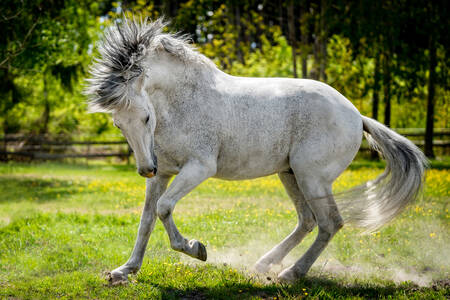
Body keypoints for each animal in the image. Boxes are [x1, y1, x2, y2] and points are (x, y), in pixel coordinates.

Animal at [84, 17, 426, 284]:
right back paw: (264, 264)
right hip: (290, 174)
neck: (183, 101)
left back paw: (290, 274)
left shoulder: (199, 168)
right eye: (117, 123)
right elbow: (146, 220)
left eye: (146, 116)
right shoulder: (164, 174)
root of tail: (356, 115)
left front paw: (196, 249)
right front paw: (124, 271)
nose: (145, 168)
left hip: (312, 177)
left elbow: (164, 208)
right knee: (308, 221)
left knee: (330, 223)